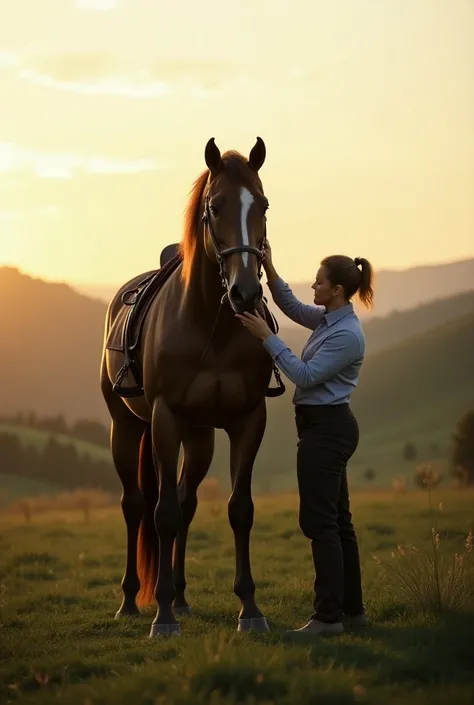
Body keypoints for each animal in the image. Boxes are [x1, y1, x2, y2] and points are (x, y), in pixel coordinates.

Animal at [98, 135, 280, 636]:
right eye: (215, 207)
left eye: (262, 205)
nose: (245, 294)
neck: (211, 325)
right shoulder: (165, 420)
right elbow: (162, 514)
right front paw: (161, 617)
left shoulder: (247, 420)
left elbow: (239, 509)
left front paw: (249, 609)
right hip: (127, 428)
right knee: (136, 505)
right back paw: (132, 601)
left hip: (199, 438)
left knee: (187, 500)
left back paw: (179, 597)